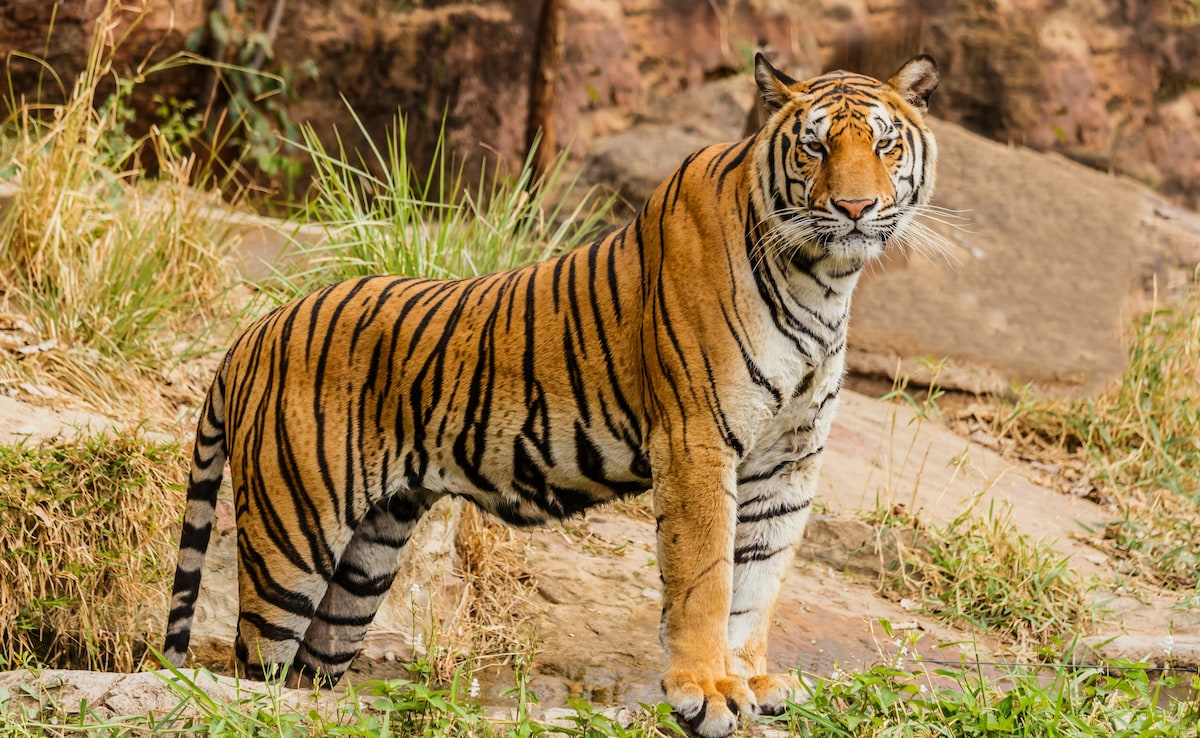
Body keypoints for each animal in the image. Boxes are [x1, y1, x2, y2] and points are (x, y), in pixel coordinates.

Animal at [163, 53, 938, 738]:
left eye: (884, 143)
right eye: (814, 146)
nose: (856, 206)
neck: (824, 279)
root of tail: (252, 331)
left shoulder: (788, 458)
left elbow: (759, 581)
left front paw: (748, 679)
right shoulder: (697, 440)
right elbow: (707, 577)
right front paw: (708, 691)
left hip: (367, 559)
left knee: (308, 673)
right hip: (291, 535)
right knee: (253, 668)